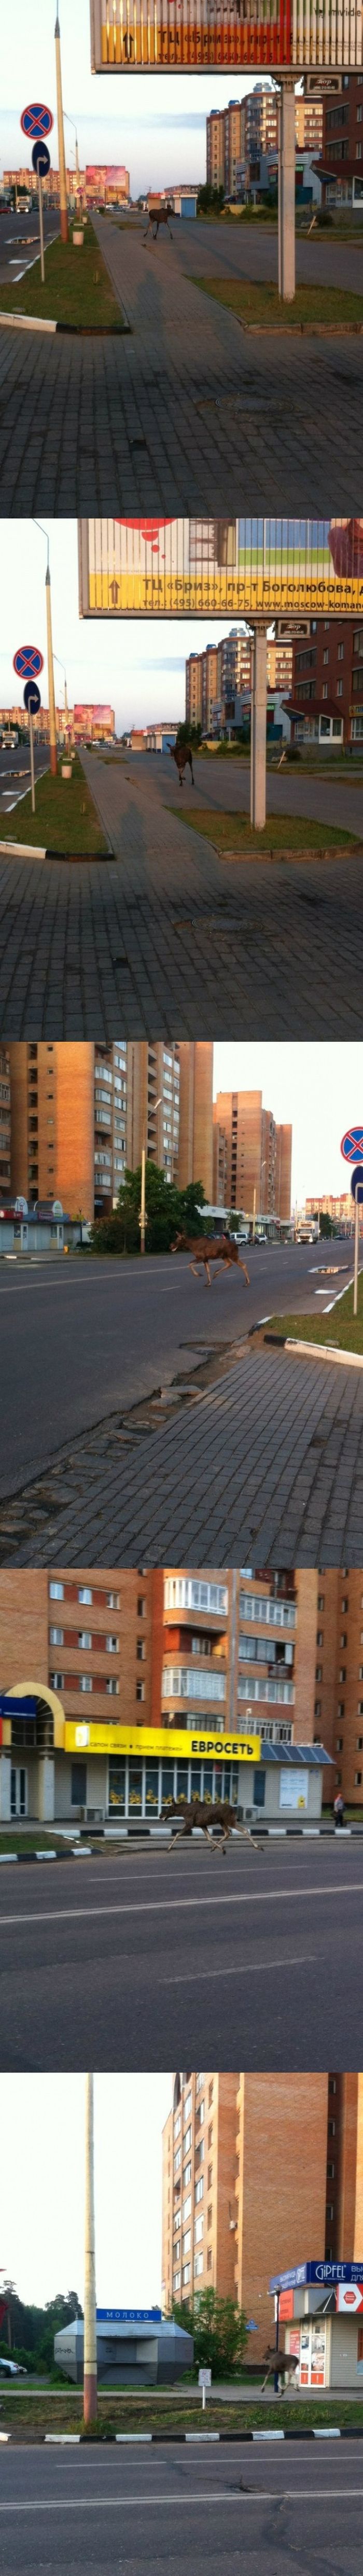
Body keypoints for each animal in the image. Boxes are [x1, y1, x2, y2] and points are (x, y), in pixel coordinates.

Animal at [158, 1793, 261, 1854]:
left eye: (168, 1808)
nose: (160, 1815)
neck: (183, 1812)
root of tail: (233, 1809)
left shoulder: (190, 1824)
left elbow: (178, 1834)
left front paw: (169, 1849)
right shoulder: (202, 1825)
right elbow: (209, 1838)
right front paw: (221, 1849)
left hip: (230, 1821)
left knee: (245, 1830)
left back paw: (258, 1847)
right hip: (222, 1822)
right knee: (228, 1833)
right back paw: (214, 1848)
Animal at [170, 1231, 249, 1288]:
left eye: (179, 1239)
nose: (171, 1246)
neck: (191, 1247)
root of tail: (237, 1246)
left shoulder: (202, 1257)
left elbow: (190, 1264)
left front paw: (198, 1275)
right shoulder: (205, 1259)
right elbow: (208, 1270)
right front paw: (208, 1283)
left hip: (232, 1255)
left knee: (243, 1265)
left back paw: (247, 1283)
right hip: (224, 1256)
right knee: (229, 1264)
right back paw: (216, 1274)